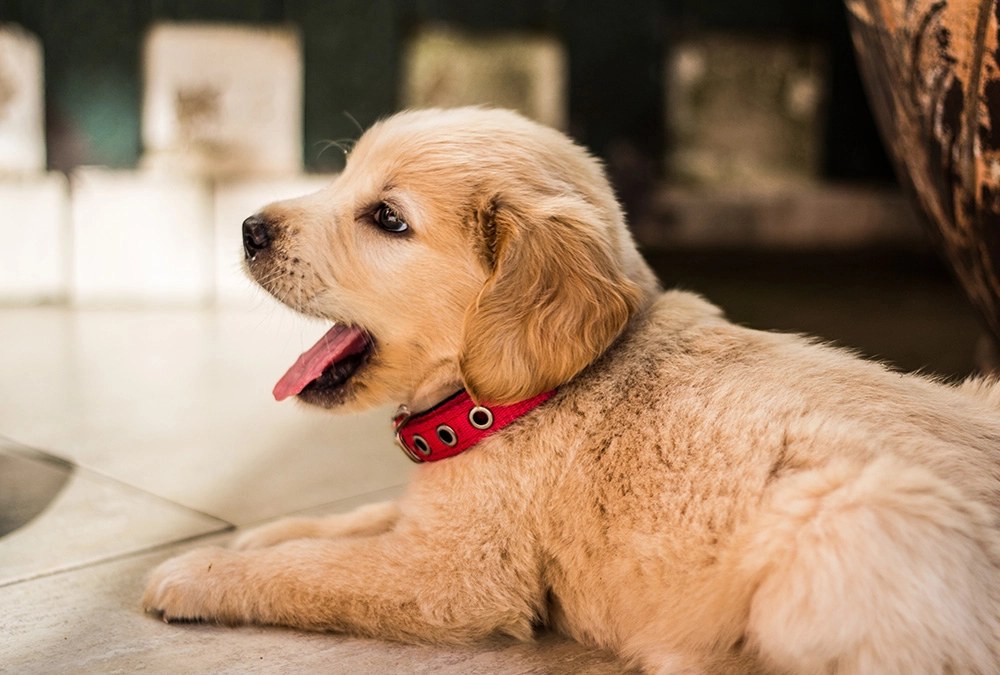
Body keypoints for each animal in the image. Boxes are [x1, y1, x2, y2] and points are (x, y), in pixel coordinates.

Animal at [145, 108, 1000, 672]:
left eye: (386, 217)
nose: (249, 227)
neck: (513, 398)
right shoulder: (437, 516)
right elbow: (349, 521)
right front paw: (261, 533)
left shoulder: (452, 575)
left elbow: (314, 572)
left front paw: (197, 572)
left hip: (843, 515)